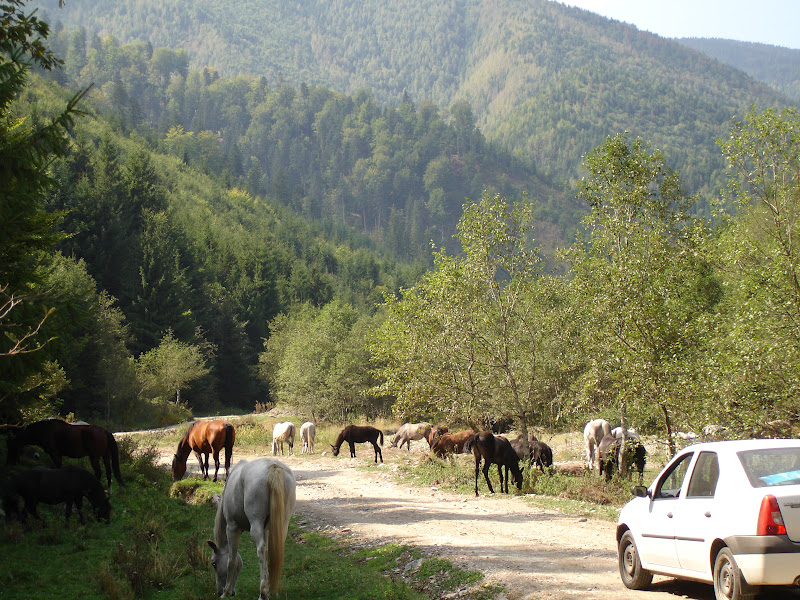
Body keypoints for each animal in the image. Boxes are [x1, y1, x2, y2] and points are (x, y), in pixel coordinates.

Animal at [208, 458, 296, 596]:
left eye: (214, 564)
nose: (219, 591)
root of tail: (273, 466)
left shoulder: (232, 528)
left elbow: (231, 560)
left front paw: (226, 592)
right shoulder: (265, 530)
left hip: (255, 525)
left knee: (260, 549)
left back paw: (263, 593)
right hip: (282, 524)